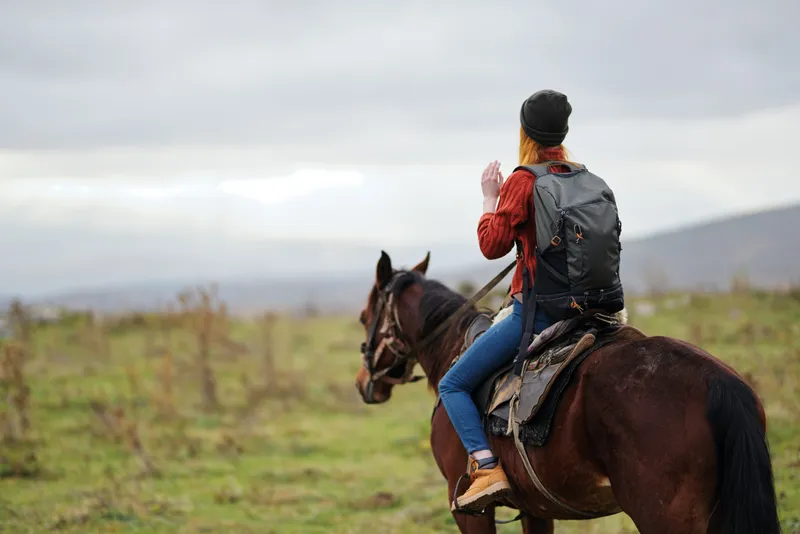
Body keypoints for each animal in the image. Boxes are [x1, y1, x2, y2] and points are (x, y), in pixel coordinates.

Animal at [353, 251, 781, 534]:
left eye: (363, 316)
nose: (362, 383)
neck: (453, 350)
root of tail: (721, 385)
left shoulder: (466, 510)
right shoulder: (536, 508)